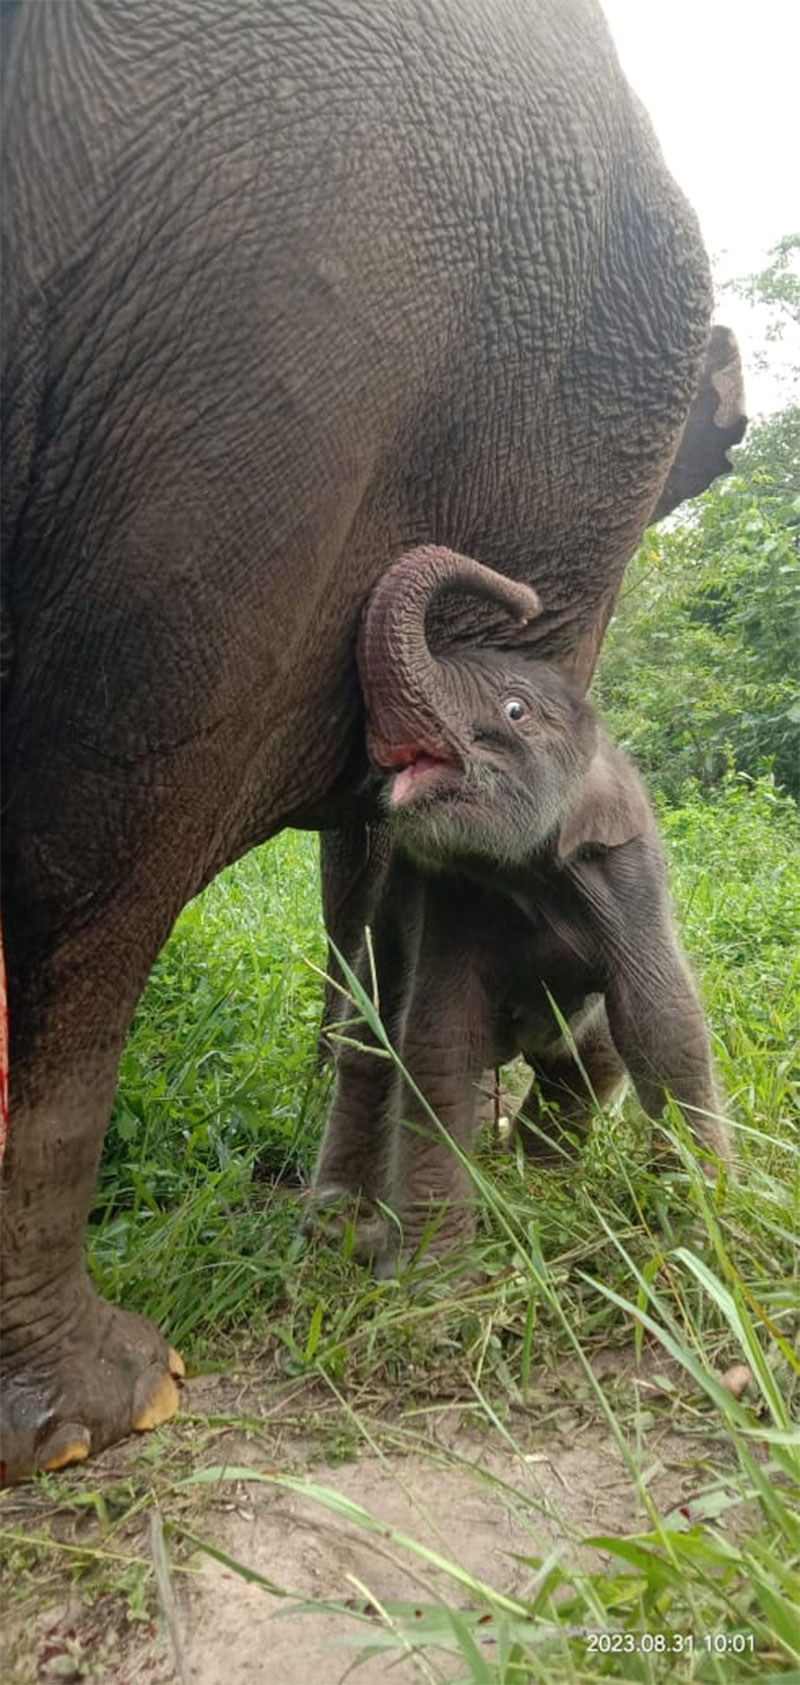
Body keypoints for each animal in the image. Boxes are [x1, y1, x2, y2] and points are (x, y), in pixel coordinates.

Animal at [312, 549, 731, 1268]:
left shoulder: (631, 877)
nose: (526, 601)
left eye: (514, 710)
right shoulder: (447, 897)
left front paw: (699, 1240)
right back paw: (337, 1220)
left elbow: (663, 1025)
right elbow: (437, 1044)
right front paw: (433, 1279)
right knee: (368, 1048)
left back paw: (539, 1179)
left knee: (588, 1060)